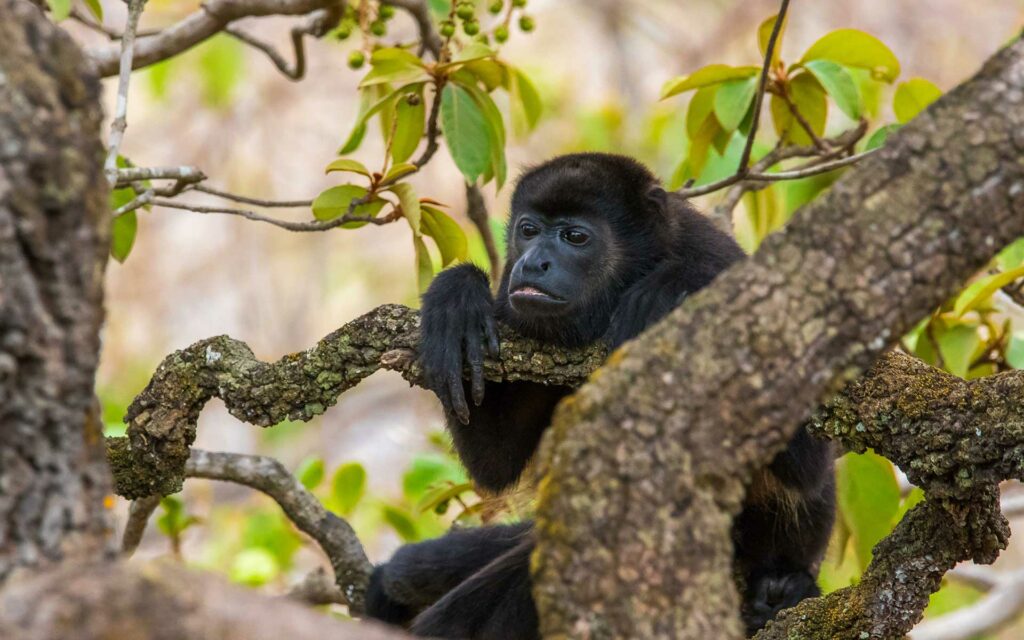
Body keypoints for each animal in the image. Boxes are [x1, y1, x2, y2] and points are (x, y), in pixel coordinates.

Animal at [365, 152, 836, 638]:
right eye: (528, 230)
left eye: (575, 236)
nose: (532, 263)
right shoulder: (510, 310)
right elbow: (496, 460)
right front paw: (457, 297)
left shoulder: (721, 259)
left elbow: (809, 463)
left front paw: (669, 286)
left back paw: (784, 585)